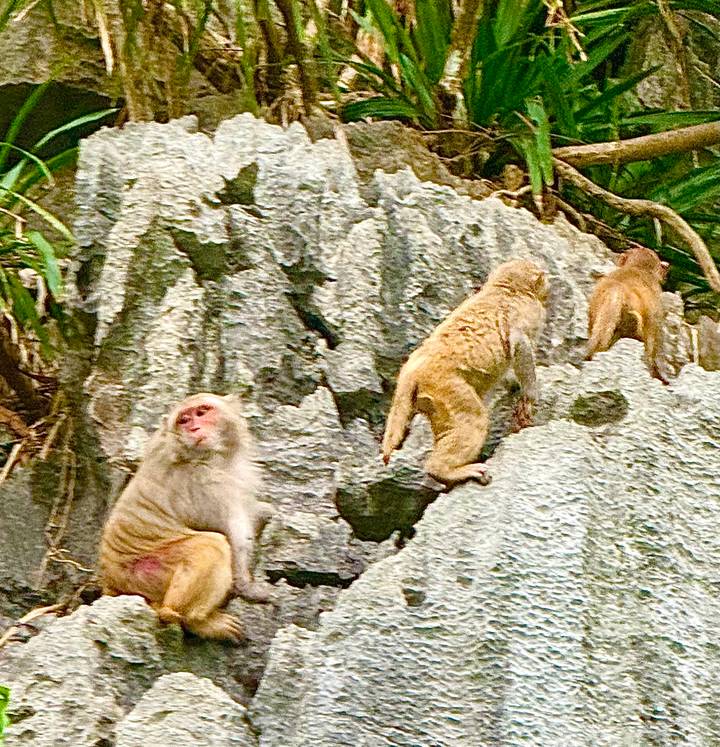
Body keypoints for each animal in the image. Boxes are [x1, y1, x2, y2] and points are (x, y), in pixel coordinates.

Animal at [99, 393, 276, 643]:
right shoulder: (205, 483)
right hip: (148, 575)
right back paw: (194, 620)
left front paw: (267, 515)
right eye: (184, 420)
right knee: (211, 546)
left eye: (201, 412)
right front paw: (247, 588)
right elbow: (233, 535)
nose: (194, 428)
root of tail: (111, 583)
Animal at [381, 258, 548, 485]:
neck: (507, 288)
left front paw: (513, 383)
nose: (549, 285)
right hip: (446, 387)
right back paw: (445, 470)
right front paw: (530, 394)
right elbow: (520, 345)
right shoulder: (528, 313)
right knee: (474, 418)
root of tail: (411, 371)